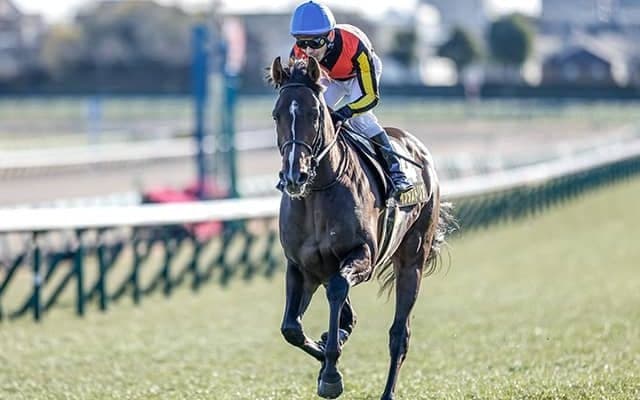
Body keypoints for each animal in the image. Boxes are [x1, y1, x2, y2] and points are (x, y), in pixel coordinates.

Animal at [268, 56, 454, 400]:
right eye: (277, 114)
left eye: (315, 114)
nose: (295, 176)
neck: (319, 190)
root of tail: (418, 148)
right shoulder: (302, 266)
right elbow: (292, 329)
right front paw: (327, 349)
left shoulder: (362, 256)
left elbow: (339, 291)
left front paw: (330, 374)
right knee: (345, 313)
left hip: (412, 260)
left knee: (399, 334)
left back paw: (386, 391)